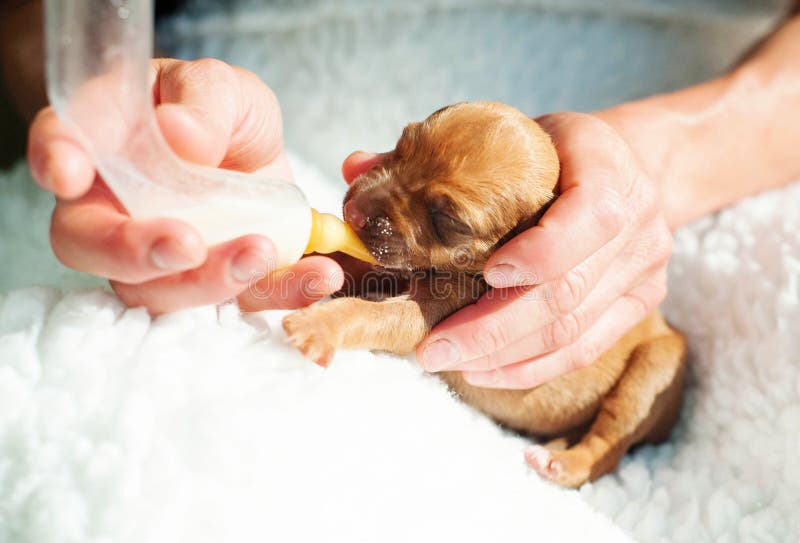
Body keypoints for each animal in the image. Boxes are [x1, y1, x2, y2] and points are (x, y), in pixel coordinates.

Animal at [282, 101, 688, 488]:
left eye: (447, 219)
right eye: (400, 144)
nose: (353, 211)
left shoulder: (426, 314)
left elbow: (367, 314)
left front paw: (320, 325)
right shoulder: (390, 266)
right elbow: (350, 264)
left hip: (652, 372)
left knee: (607, 446)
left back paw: (560, 463)